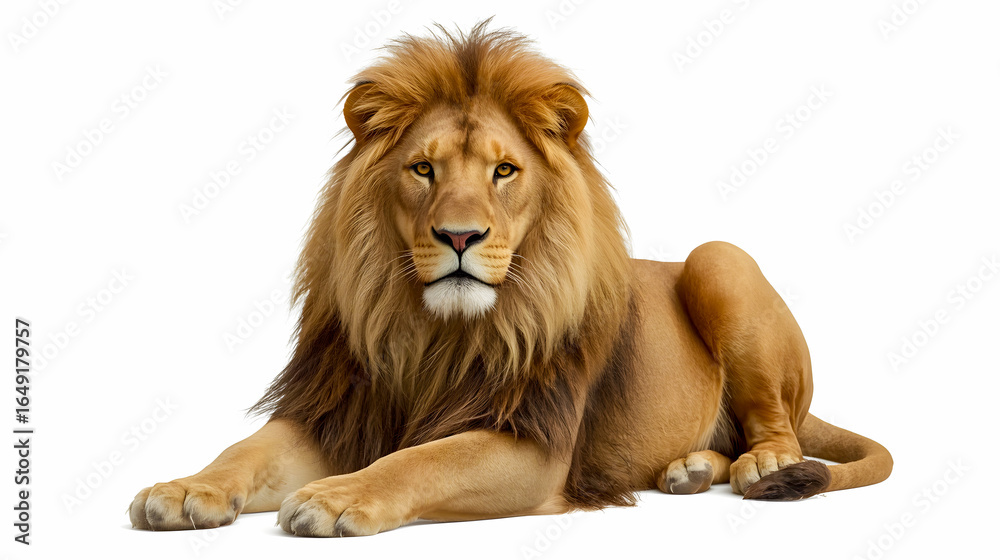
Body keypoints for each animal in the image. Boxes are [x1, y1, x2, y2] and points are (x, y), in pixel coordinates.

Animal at [129, 22, 891, 537]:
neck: (433, 334)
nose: (460, 237)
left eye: (504, 171)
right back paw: (692, 469)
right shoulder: (341, 411)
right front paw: (187, 487)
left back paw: (759, 468)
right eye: (423, 169)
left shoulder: (532, 442)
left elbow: (423, 460)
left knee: (778, 430)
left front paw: (336, 497)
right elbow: (245, 449)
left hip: (719, 259)